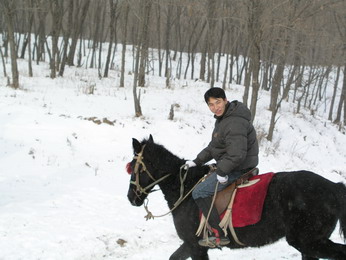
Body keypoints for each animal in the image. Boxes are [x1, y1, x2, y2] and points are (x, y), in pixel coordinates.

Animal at [126, 136, 346, 260]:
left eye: (134, 166)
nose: (131, 197)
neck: (186, 189)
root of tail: (334, 187)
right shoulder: (190, 245)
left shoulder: (195, 245)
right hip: (309, 245)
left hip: (309, 242)